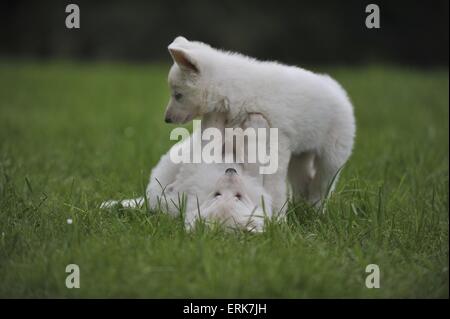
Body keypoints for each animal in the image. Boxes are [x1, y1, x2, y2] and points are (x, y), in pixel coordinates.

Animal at [163, 36, 356, 214]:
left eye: (178, 95)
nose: (167, 120)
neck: (237, 90)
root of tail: (337, 90)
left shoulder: (277, 141)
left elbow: (274, 186)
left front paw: (277, 217)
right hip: (300, 157)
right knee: (304, 181)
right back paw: (302, 207)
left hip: (332, 156)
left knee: (322, 184)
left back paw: (316, 209)